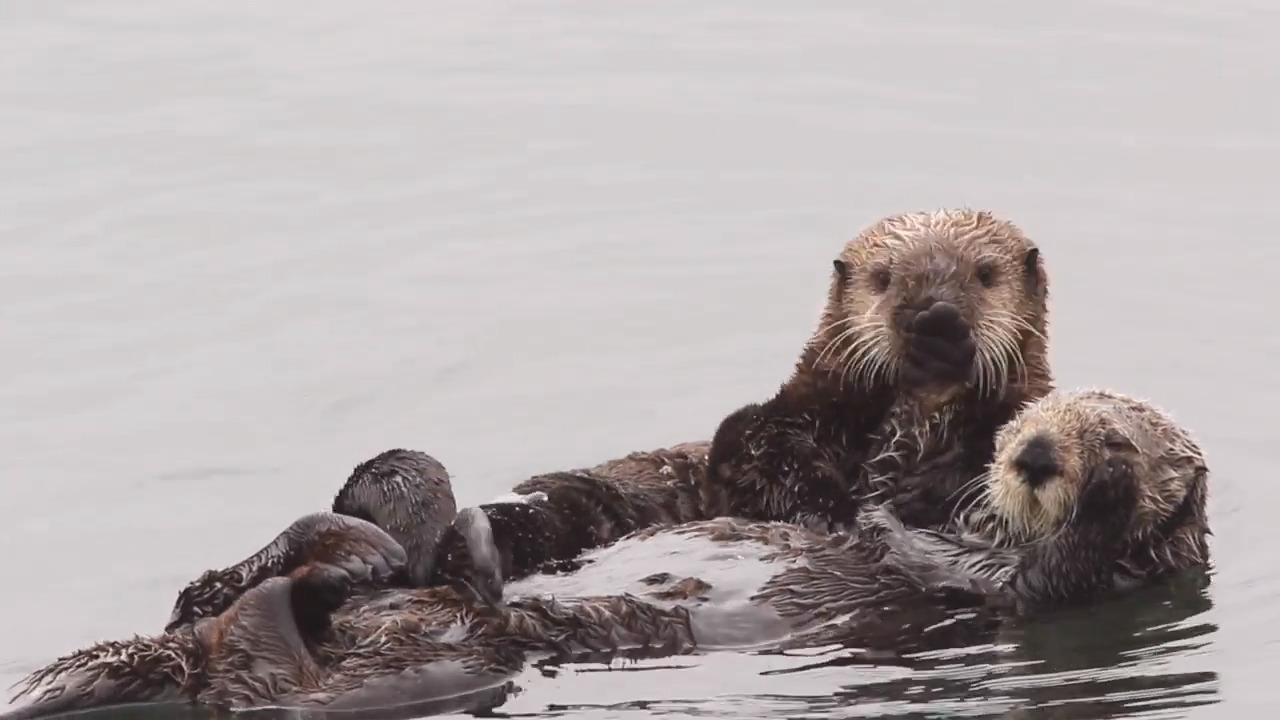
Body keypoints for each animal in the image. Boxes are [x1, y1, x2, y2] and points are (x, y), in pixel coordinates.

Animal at [4, 388, 1211, 720]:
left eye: (1113, 437)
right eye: (1024, 427)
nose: (1039, 452)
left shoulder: (1049, 589)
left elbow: (1045, 572)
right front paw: (881, 504)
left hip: (431, 660)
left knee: (275, 669)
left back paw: (361, 561)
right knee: (224, 599)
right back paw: (374, 522)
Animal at [703, 207, 1052, 533]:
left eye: (986, 273)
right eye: (882, 278)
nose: (934, 311)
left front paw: (925, 490)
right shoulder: (808, 406)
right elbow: (754, 443)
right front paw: (829, 508)